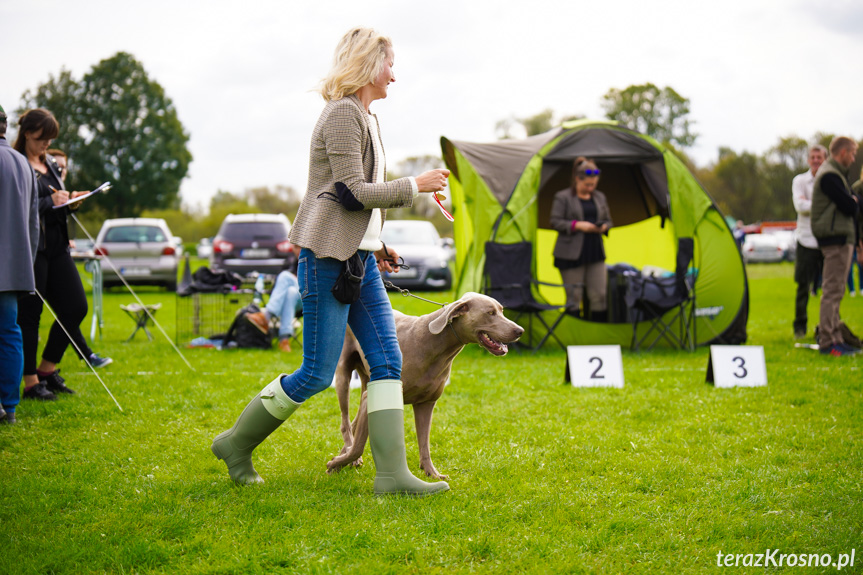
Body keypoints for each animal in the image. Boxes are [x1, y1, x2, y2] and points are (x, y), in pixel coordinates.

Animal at [328, 290, 524, 480]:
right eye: (490, 313)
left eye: (502, 311)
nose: (520, 330)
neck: (435, 344)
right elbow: (359, 445)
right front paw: (336, 463)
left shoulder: (426, 403)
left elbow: (424, 443)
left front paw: (432, 473)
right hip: (343, 375)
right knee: (346, 424)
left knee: (354, 423)